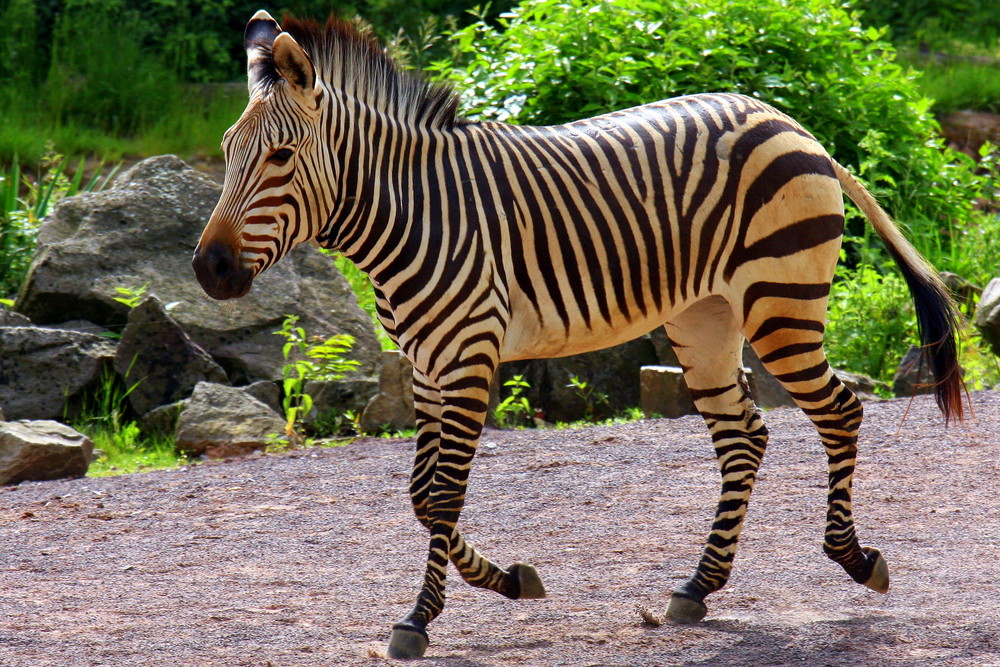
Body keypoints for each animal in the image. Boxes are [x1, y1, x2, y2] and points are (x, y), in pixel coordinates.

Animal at [191, 11, 964, 664]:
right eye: (228, 151)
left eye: (282, 156)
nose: (209, 268)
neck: (410, 213)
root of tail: (794, 125)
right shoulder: (425, 364)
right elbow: (420, 494)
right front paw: (509, 579)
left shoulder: (468, 353)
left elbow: (442, 494)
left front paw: (417, 621)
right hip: (704, 317)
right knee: (744, 432)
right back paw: (698, 586)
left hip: (781, 303)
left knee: (839, 409)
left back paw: (855, 558)